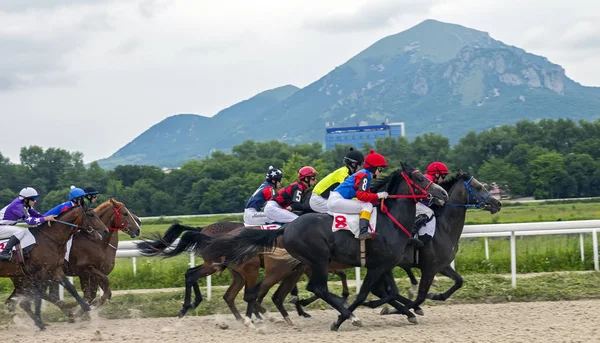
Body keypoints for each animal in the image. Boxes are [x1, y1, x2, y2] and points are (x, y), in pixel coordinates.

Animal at [203, 165, 450, 332]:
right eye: (419, 177)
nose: (443, 194)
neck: (391, 222)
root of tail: (287, 227)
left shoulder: (383, 266)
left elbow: (389, 293)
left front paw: (408, 311)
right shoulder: (377, 266)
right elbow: (364, 294)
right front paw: (344, 318)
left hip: (298, 266)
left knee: (265, 293)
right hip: (315, 261)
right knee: (315, 288)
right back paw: (345, 315)